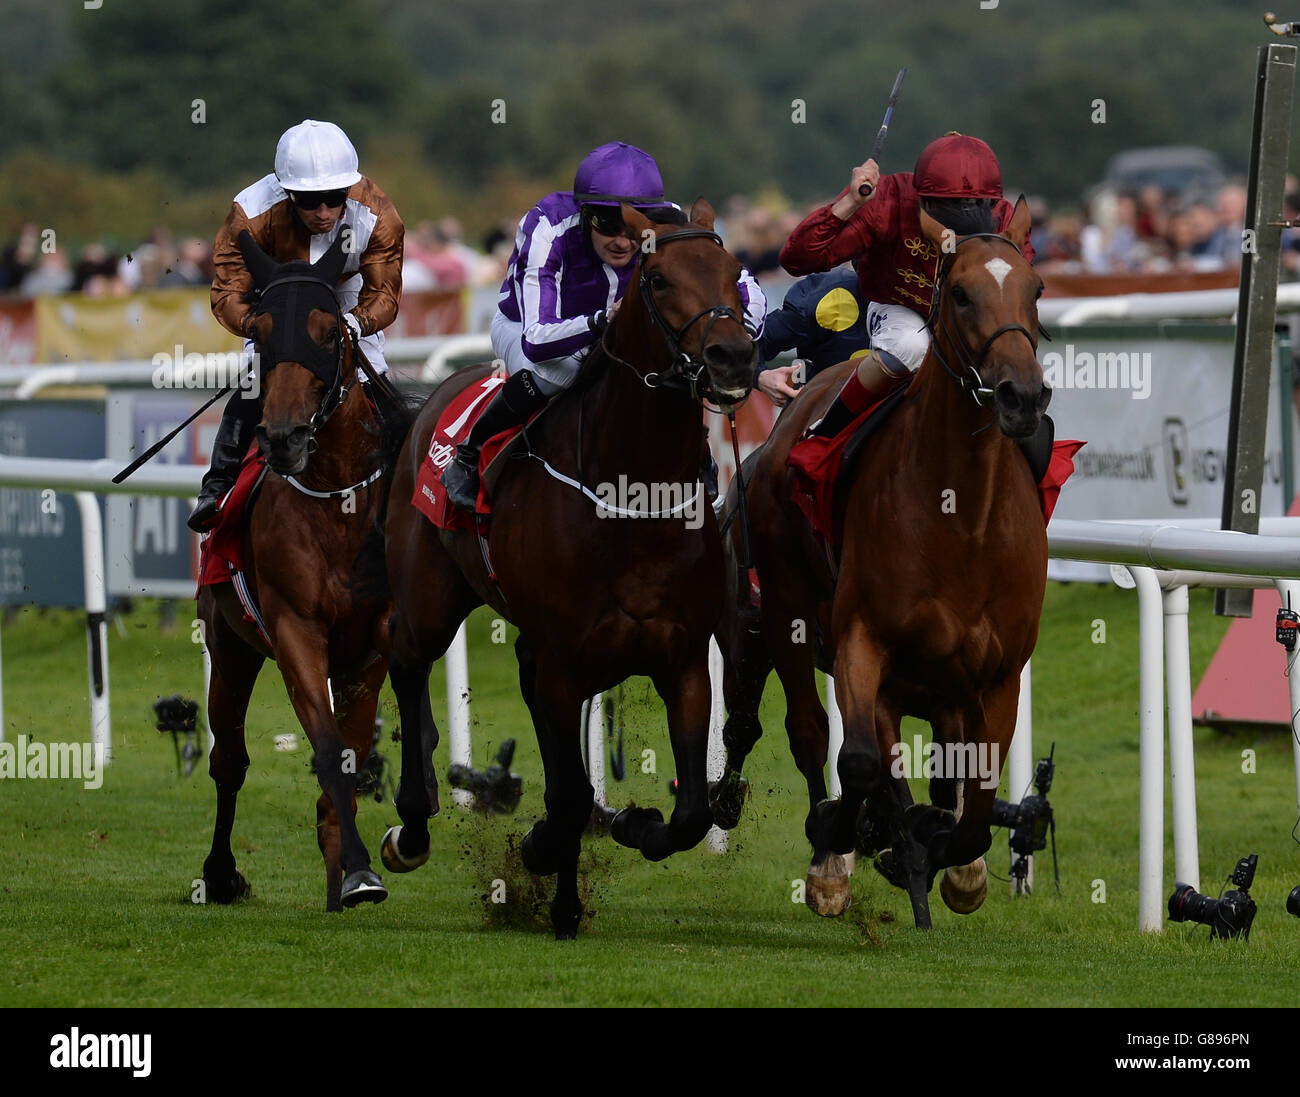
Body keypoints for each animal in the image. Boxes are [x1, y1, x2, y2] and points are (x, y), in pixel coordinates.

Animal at [196, 233, 416, 915]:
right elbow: (325, 747)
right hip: (230, 645)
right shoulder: (294, 629)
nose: (284, 437)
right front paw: (357, 866)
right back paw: (219, 874)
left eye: (327, 330)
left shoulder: (372, 643)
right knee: (228, 760)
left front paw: (349, 873)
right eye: (261, 331)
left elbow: (351, 753)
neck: (336, 504)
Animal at [377, 197, 759, 935]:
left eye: (734, 272)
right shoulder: (559, 660)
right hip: (429, 597)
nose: (732, 355)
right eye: (658, 279)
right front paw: (540, 846)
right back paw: (411, 827)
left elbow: (690, 811)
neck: (632, 498)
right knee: (406, 664)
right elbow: (571, 796)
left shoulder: (681, 658)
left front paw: (634, 826)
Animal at [707, 197, 1050, 925]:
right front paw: (851, 840)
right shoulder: (863, 641)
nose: (1021, 396)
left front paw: (945, 858)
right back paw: (824, 848)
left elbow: (972, 797)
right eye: (961, 293)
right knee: (801, 729)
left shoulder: (995, 672)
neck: (962, 516)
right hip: (778, 611)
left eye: (1035, 289)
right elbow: (859, 760)